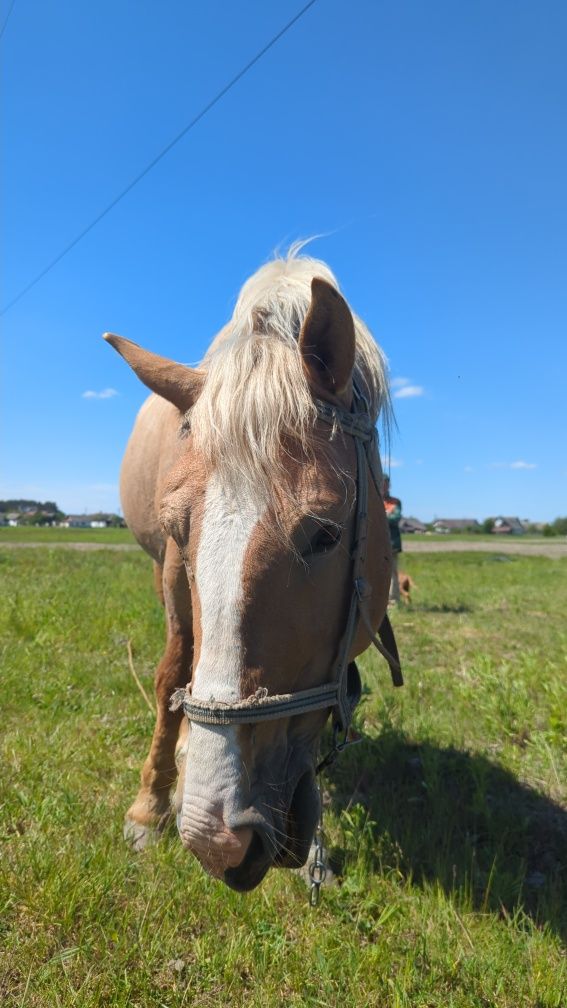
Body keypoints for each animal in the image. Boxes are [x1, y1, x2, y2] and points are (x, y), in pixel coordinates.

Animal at [104, 252, 397, 891]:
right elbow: (171, 674)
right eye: (179, 527)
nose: (217, 839)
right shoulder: (172, 572)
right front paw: (149, 807)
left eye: (326, 532)